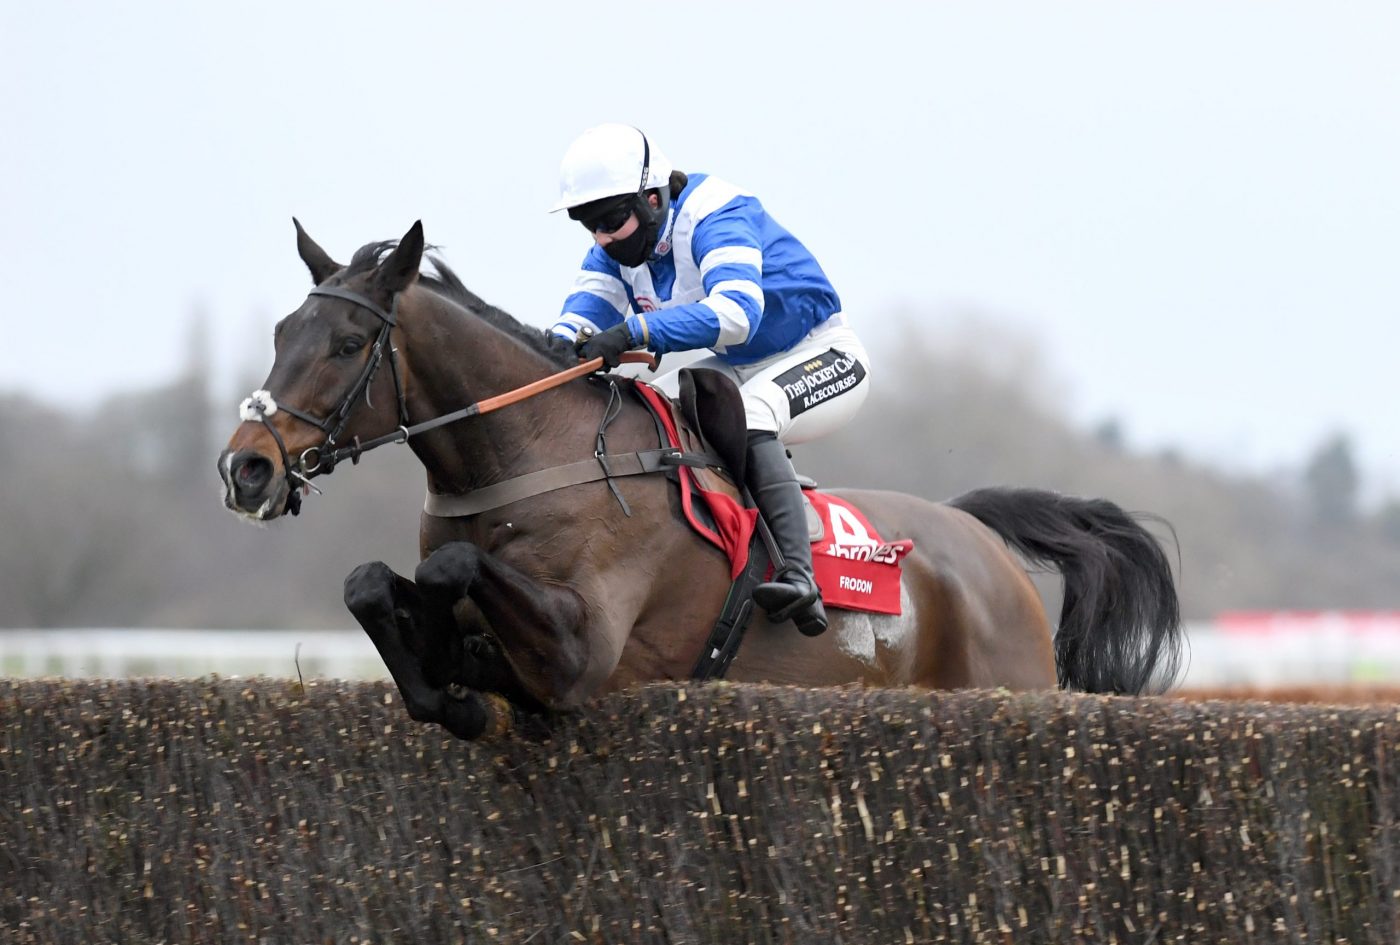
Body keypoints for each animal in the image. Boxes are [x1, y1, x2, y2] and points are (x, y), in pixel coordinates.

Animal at [218, 219, 1181, 739]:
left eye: (348, 344)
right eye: (280, 332)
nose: (246, 466)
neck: (530, 459)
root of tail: (979, 538)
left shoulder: (583, 656)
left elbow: (455, 574)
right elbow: (372, 583)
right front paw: (446, 690)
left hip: (1009, 683)